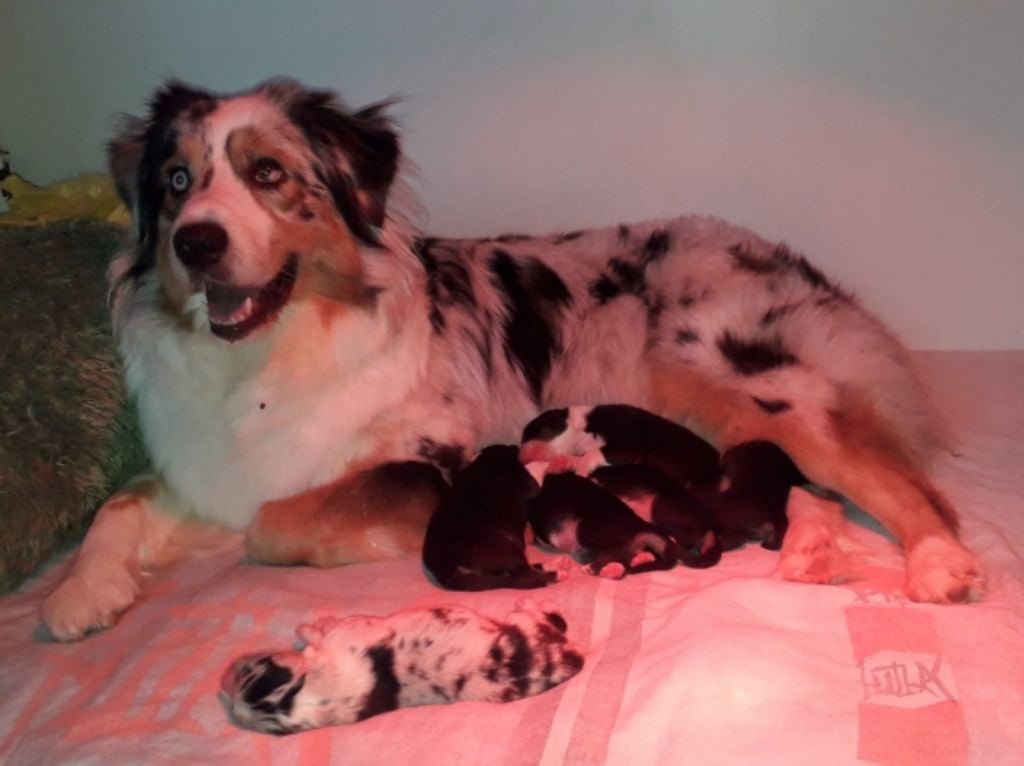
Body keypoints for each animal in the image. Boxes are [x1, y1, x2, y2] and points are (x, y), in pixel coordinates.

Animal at [223, 593, 585, 733]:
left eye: (243, 668)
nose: (222, 682)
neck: (300, 700)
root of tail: (572, 661)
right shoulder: (352, 631)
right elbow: (318, 632)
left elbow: (315, 632)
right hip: (524, 625)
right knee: (547, 615)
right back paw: (533, 600)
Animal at [423, 446, 569, 589]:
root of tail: (448, 571)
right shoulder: (528, 482)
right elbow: (535, 468)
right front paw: (552, 462)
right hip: (507, 548)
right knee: (526, 577)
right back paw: (558, 574)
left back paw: (557, 563)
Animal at [528, 469, 679, 577]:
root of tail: (642, 525)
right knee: (627, 560)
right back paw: (613, 570)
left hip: (586, 529)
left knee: (620, 551)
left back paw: (592, 568)